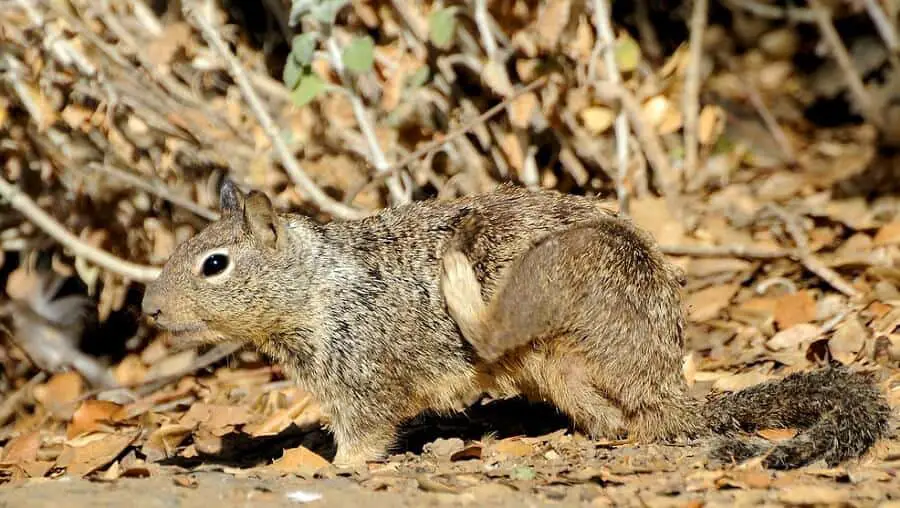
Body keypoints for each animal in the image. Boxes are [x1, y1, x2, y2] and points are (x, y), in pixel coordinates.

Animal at [141, 181, 891, 469]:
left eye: (214, 264)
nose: (148, 308)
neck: (319, 286)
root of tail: (663, 380)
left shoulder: (362, 373)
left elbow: (365, 432)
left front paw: (335, 467)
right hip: (559, 366)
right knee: (609, 422)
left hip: (552, 287)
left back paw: (457, 268)